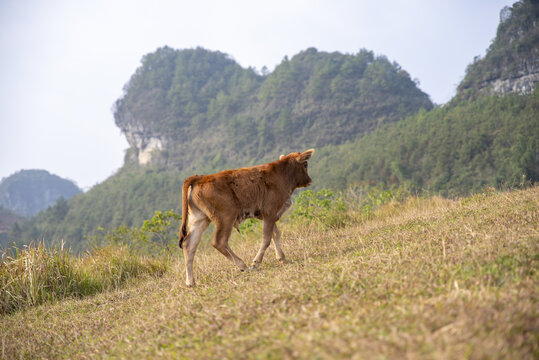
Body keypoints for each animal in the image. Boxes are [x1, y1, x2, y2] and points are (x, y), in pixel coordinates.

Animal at [180, 149, 314, 286]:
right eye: (305, 165)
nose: (309, 180)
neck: (281, 173)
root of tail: (200, 177)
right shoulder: (270, 213)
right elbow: (266, 238)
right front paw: (256, 262)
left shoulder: (270, 215)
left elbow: (275, 234)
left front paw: (282, 258)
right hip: (226, 217)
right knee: (219, 242)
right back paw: (243, 266)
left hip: (200, 219)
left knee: (189, 245)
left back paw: (190, 282)